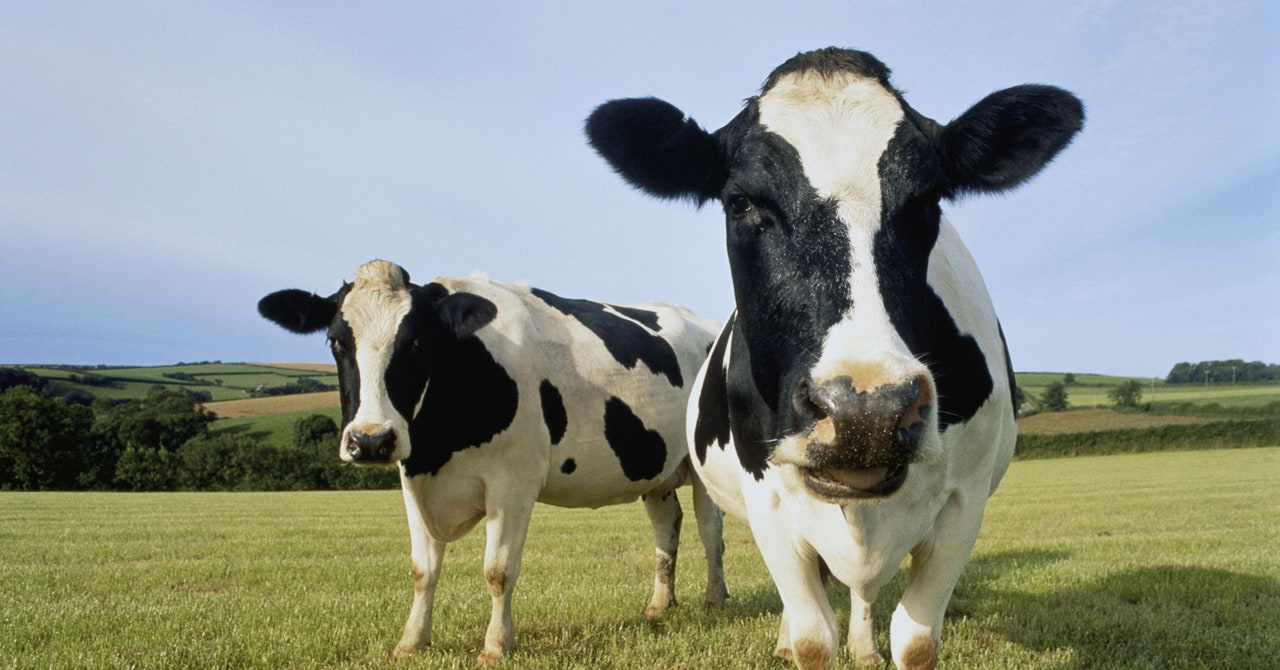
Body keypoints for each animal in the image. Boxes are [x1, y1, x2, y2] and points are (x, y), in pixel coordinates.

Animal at [257, 260, 732, 661]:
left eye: (416, 342)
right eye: (336, 341)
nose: (370, 440)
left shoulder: (514, 482)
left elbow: (498, 570)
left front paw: (496, 646)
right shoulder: (413, 478)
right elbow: (422, 569)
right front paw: (411, 642)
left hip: (703, 467)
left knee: (710, 532)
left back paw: (714, 600)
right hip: (657, 470)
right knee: (666, 528)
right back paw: (659, 605)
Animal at [586, 48, 1080, 670]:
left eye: (929, 200)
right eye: (741, 202)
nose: (866, 412)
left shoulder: (965, 503)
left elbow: (915, 640)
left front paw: (872, 646)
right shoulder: (770, 500)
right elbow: (812, 637)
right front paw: (796, 640)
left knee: (861, 589)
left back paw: (864, 646)